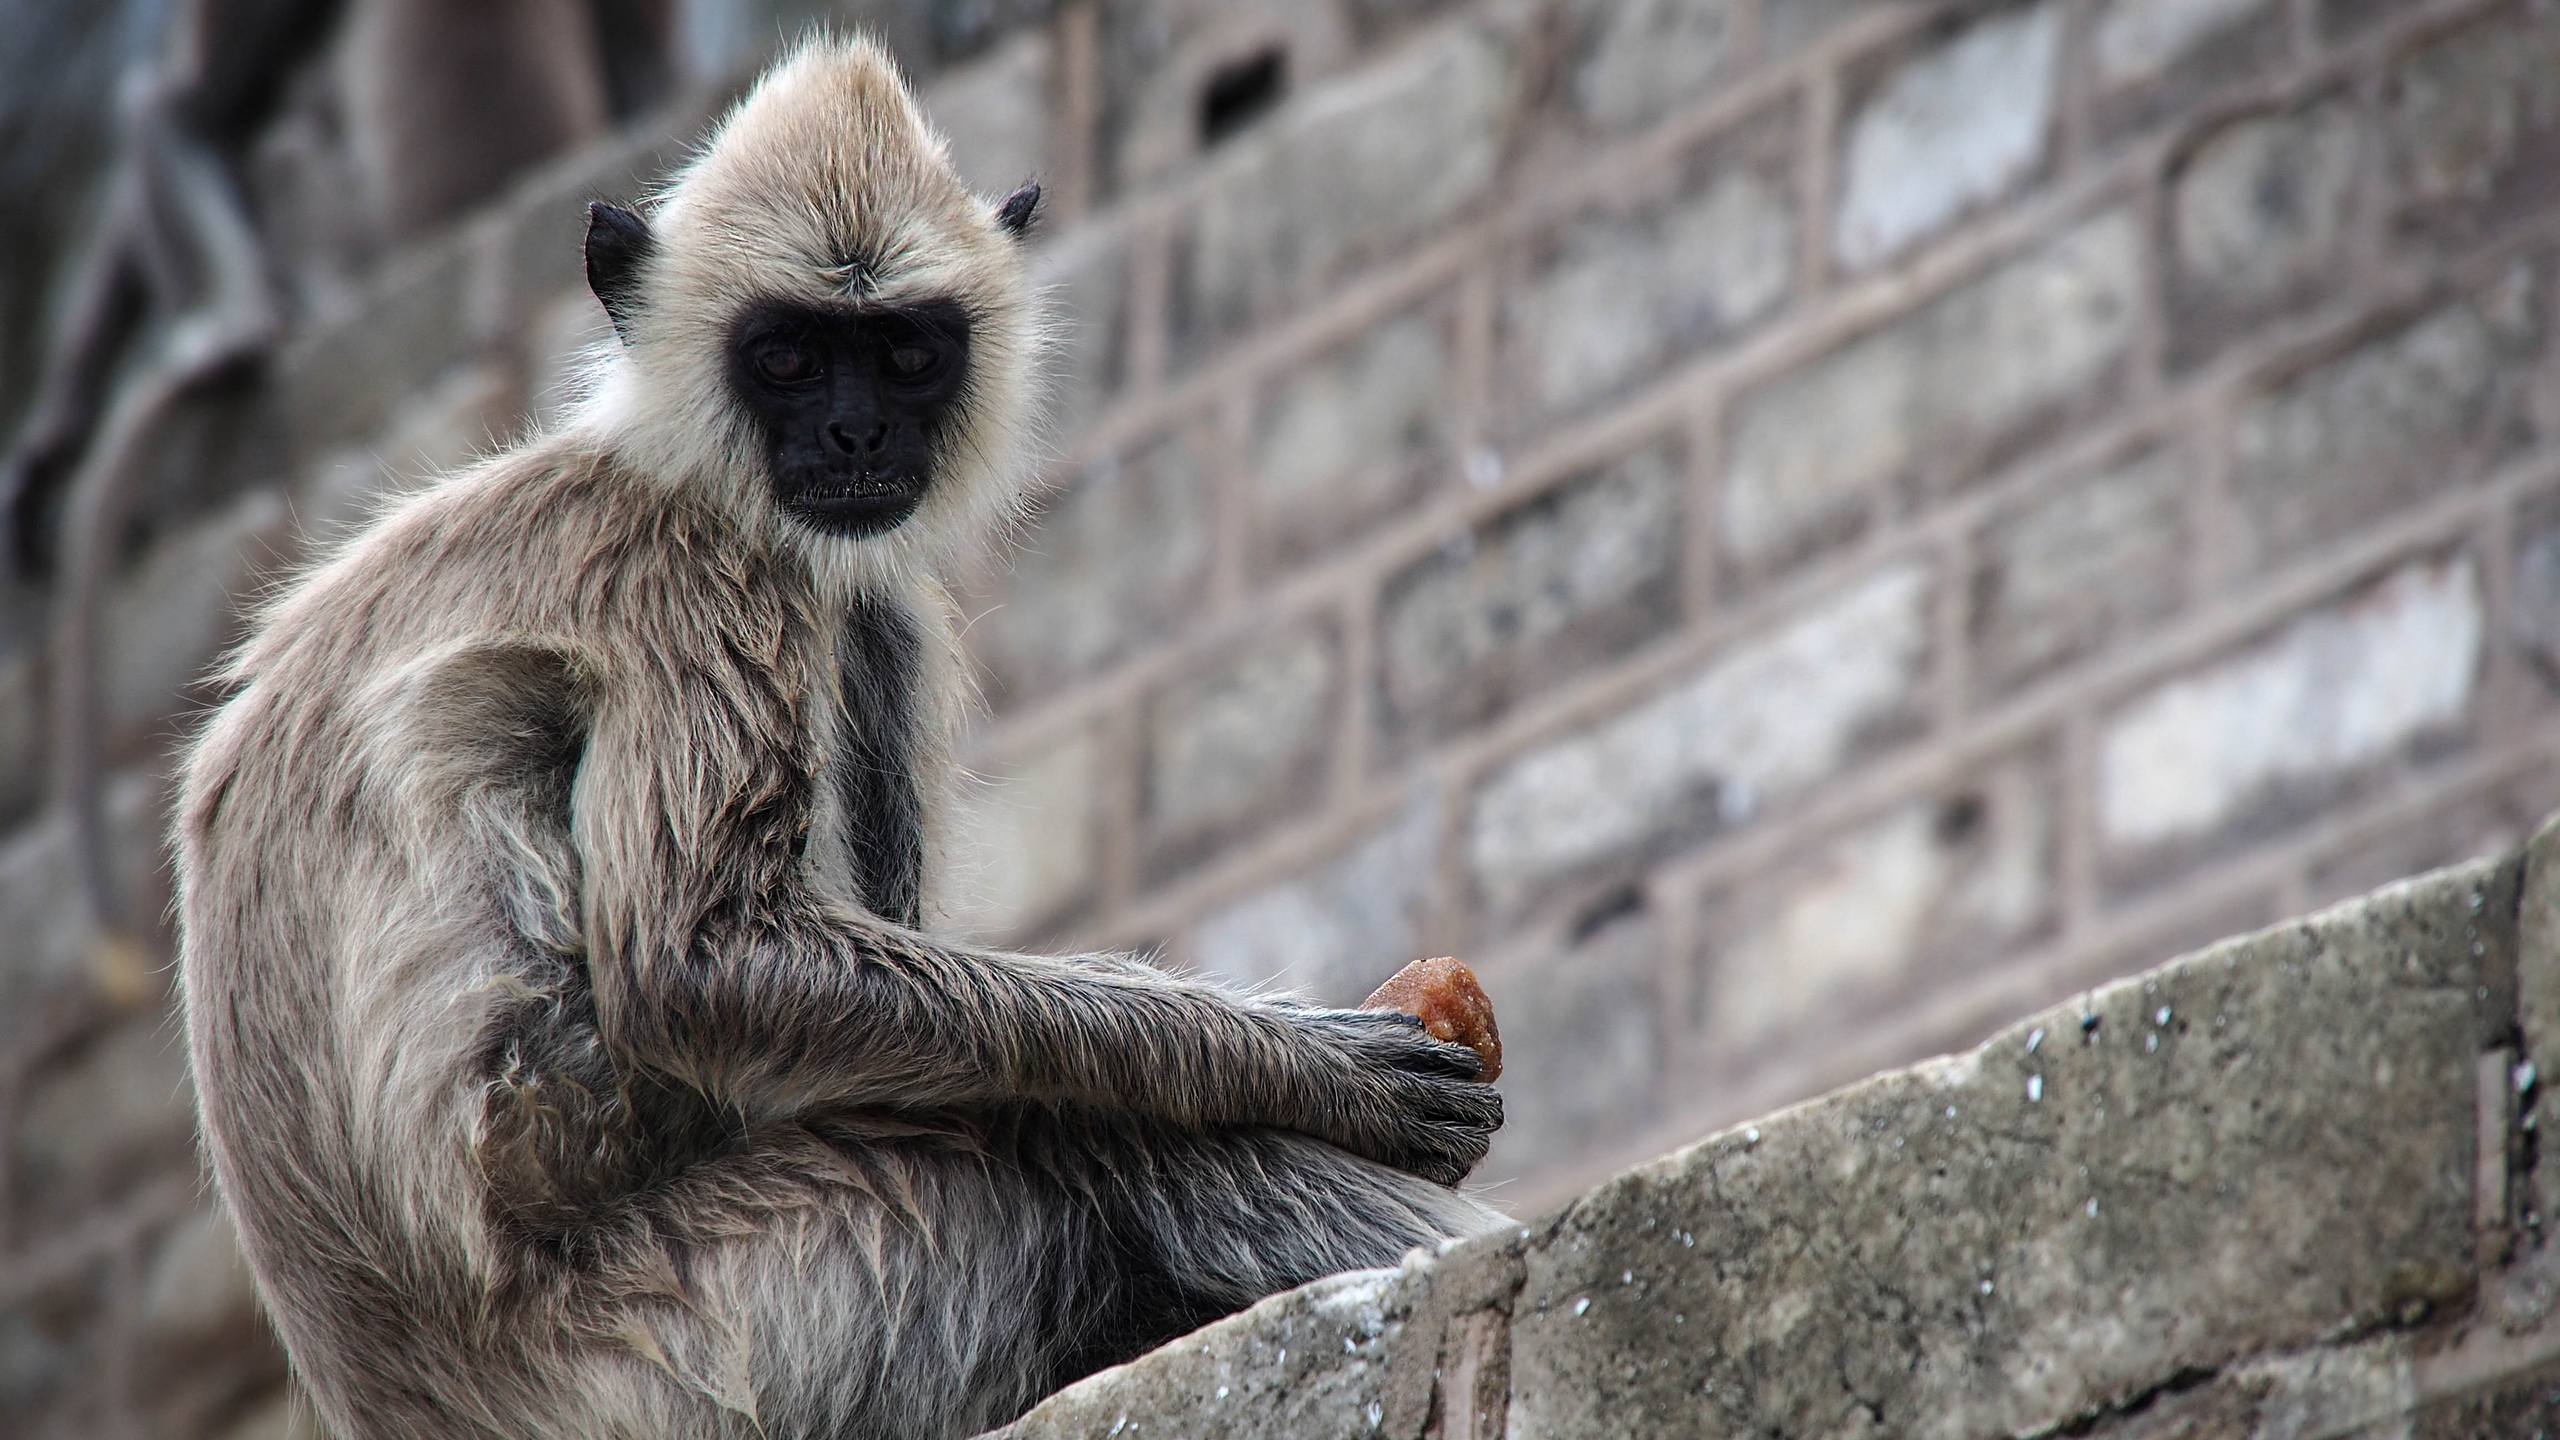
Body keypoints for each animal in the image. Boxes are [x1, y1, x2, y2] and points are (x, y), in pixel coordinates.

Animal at [175, 30, 1495, 1434]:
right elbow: (702, 967)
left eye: (906, 353)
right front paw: (1319, 1072)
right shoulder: (687, 576)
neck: (657, 470)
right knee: (1065, 1133)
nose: (855, 432)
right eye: (791, 358)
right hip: (717, 1326)